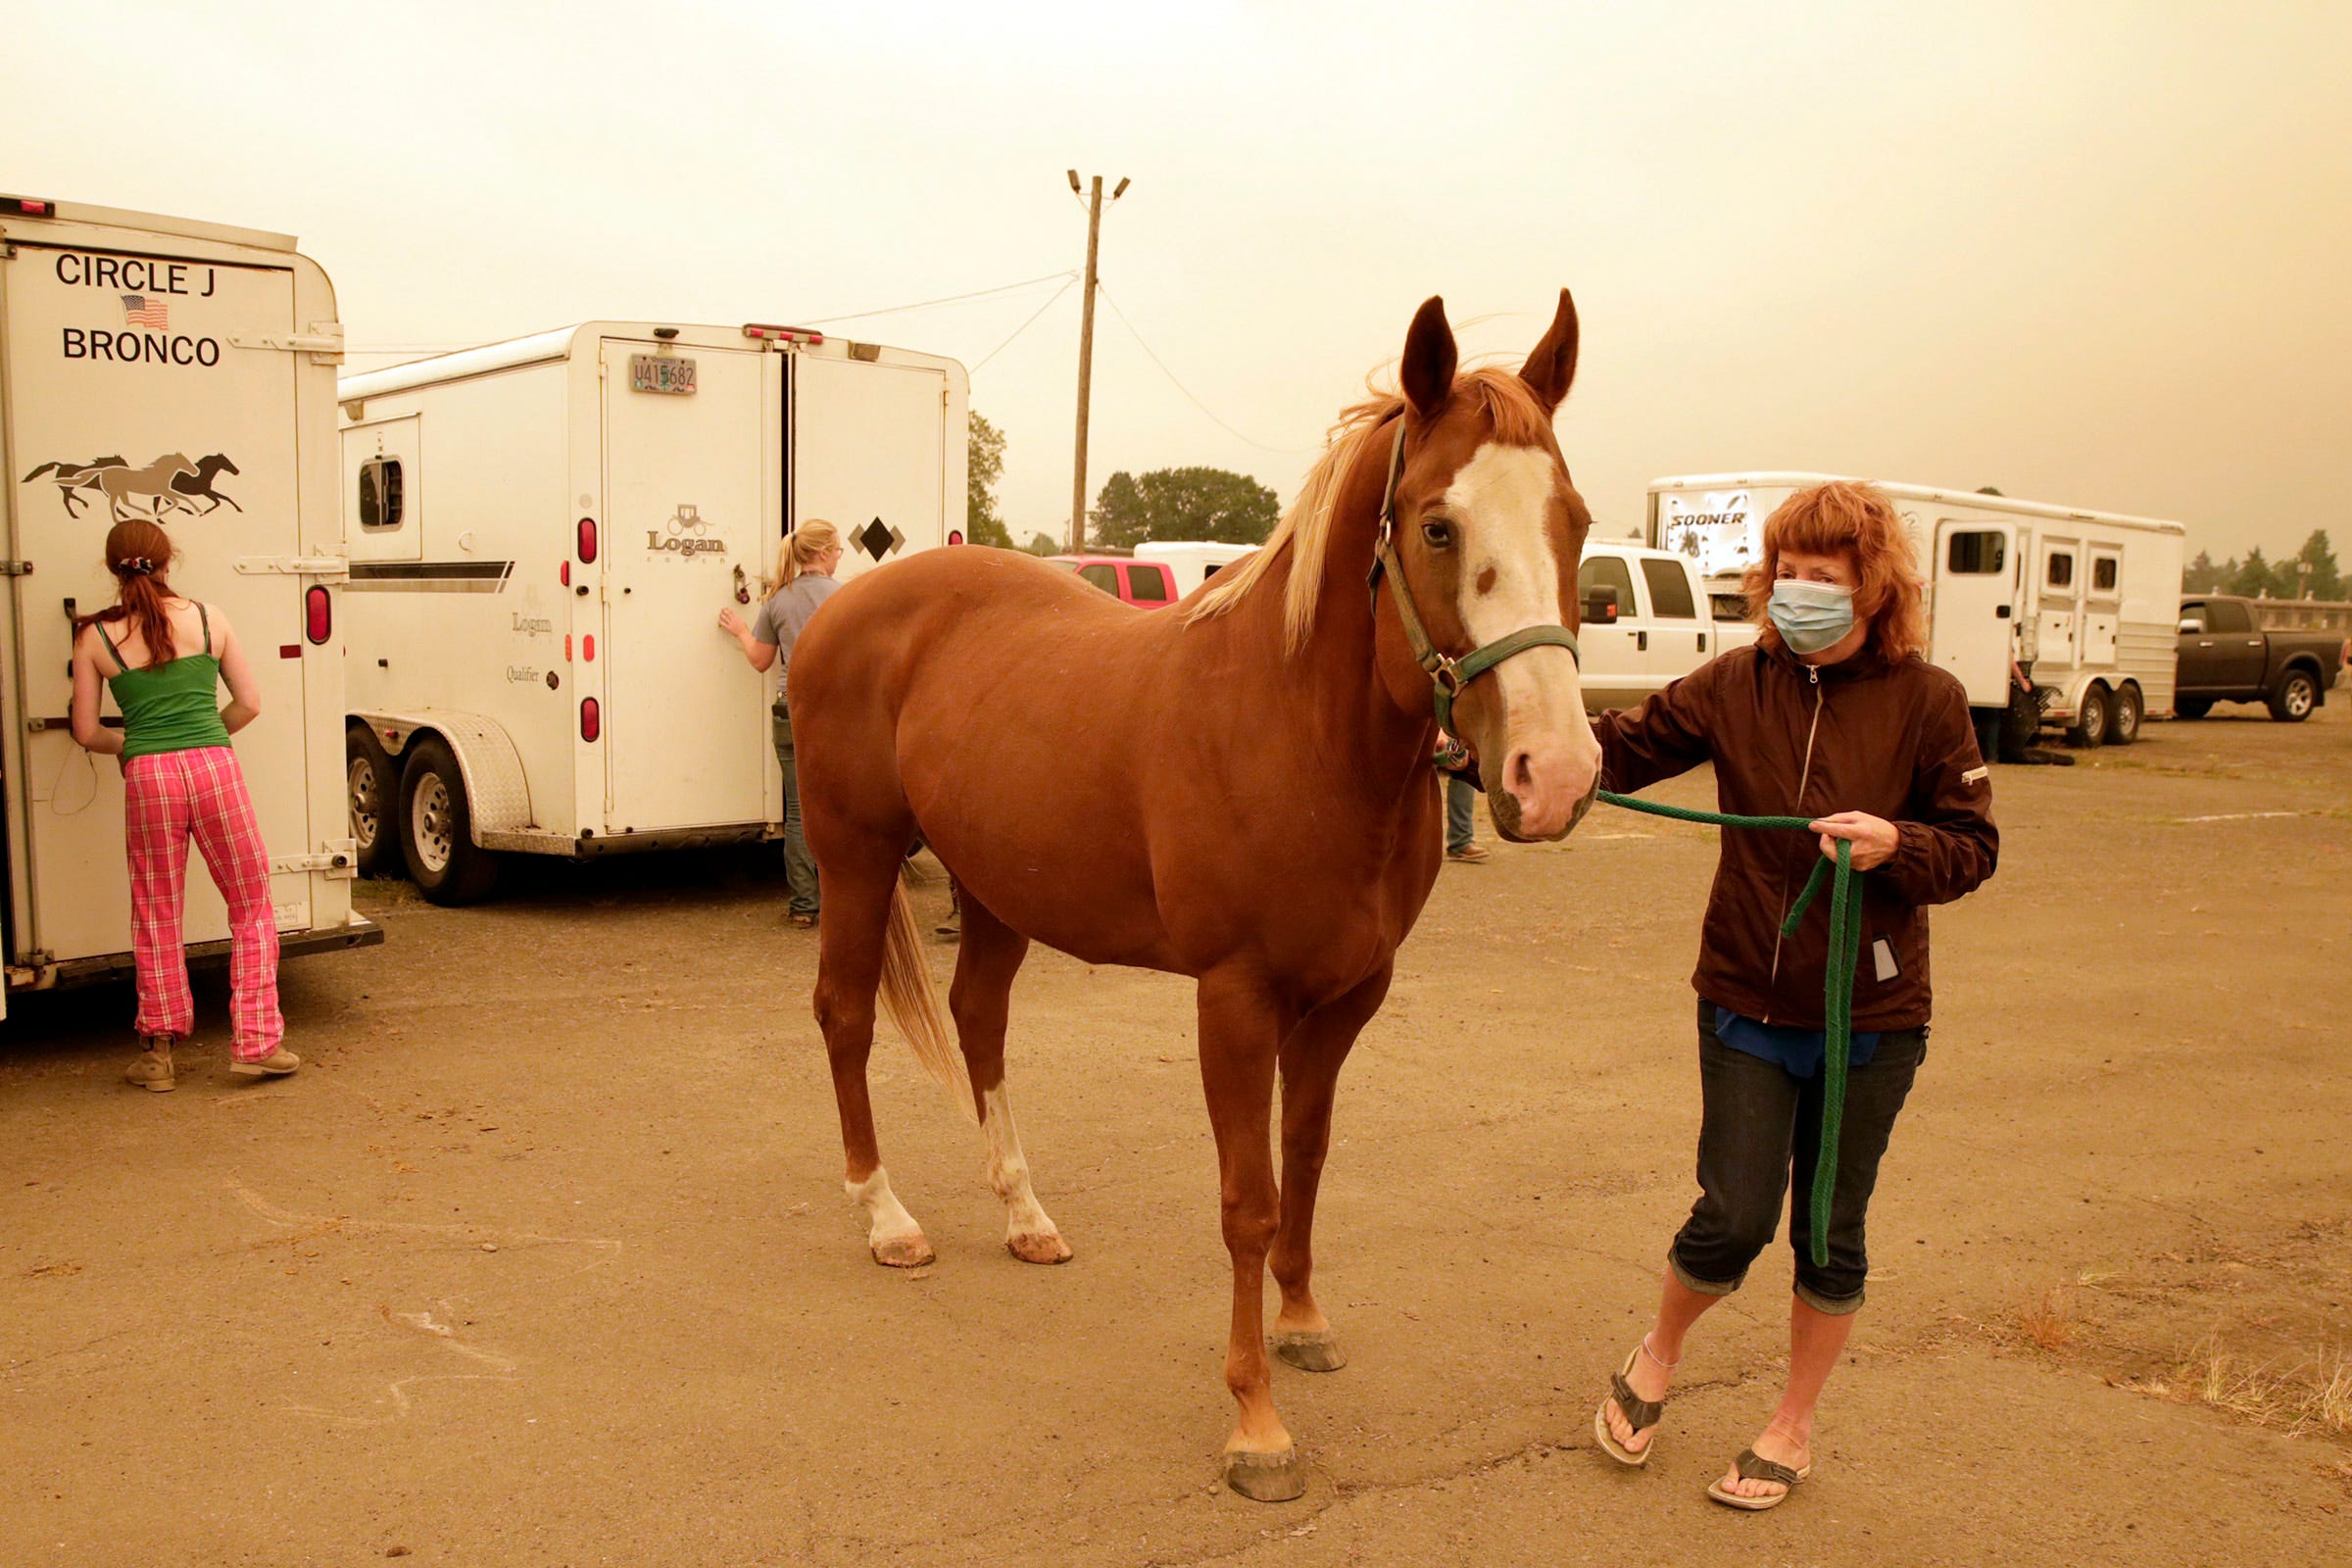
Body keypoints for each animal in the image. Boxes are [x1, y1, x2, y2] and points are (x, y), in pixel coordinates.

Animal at [788, 291, 1604, 1501]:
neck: (1293, 725)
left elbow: (1305, 1160)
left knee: (981, 1022)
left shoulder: (1348, 997)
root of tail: (851, 603)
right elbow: (1247, 1200)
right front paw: (1256, 1422)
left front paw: (1304, 1323)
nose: (1554, 776)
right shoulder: (1236, 1000)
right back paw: (886, 1217)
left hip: (996, 886)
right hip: (857, 857)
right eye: (1437, 526)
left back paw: (1024, 1213)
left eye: (1577, 519)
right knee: (845, 1017)